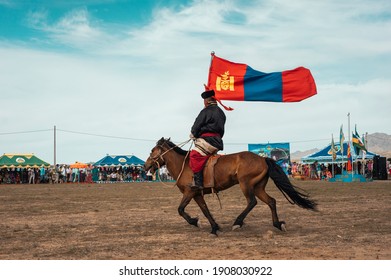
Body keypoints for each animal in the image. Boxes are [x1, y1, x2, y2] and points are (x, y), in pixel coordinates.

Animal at [145, 137, 316, 234]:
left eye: (153, 150)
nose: (146, 166)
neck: (184, 164)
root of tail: (263, 159)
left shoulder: (189, 192)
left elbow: (180, 210)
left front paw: (195, 222)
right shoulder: (198, 194)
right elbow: (205, 211)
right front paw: (214, 227)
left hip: (246, 184)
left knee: (252, 202)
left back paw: (237, 223)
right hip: (258, 187)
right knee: (271, 201)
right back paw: (278, 224)